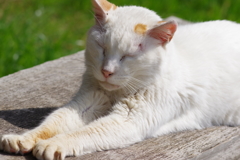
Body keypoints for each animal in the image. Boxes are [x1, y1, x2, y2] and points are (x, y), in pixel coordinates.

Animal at [0, 0, 240, 159]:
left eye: (127, 56)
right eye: (102, 48)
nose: (106, 71)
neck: (118, 92)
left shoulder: (128, 120)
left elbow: (86, 132)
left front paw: (54, 144)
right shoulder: (86, 103)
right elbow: (53, 122)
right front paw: (24, 139)